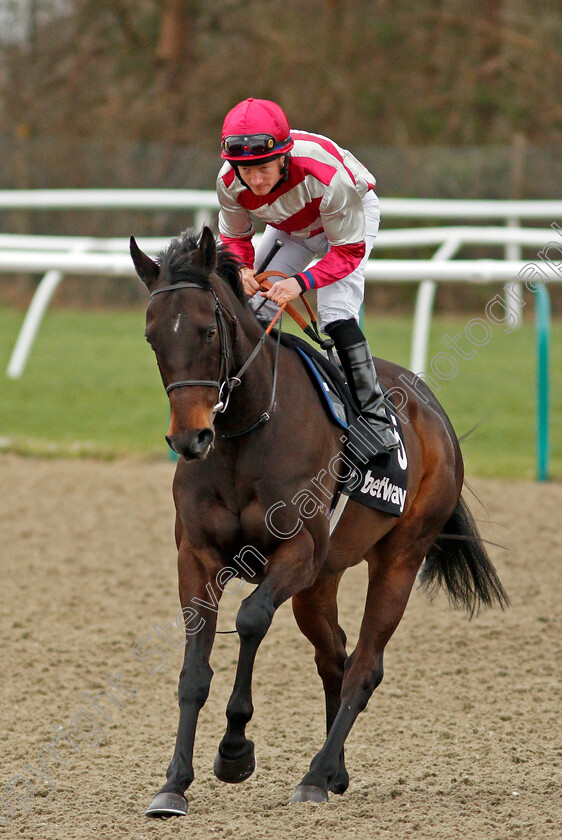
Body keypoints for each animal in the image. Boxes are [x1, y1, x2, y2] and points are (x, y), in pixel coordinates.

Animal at [129, 226, 506, 816]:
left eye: (207, 329)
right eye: (152, 338)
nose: (190, 439)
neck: (244, 433)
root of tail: (432, 409)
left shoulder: (297, 552)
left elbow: (252, 619)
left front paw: (234, 749)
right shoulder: (198, 556)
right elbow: (194, 670)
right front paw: (174, 783)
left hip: (399, 556)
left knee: (364, 665)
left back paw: (315, 773)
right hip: (321, 580)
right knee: (335, 654)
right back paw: (334, 772)